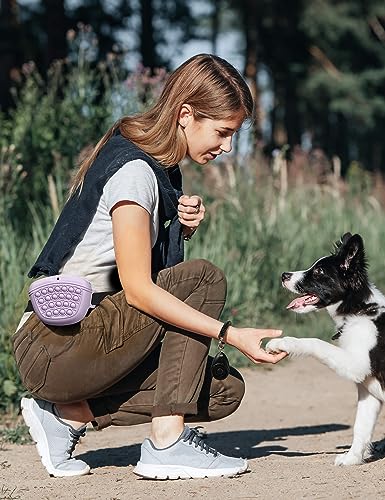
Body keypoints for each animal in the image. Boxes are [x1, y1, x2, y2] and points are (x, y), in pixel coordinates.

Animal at [266, 232, 384, 466]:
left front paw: (282, 343)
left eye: (319, 272)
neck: (359, 309)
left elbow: (315, 342)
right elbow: (361, 427)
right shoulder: (367, 388)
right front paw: (352, 459)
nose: (284, 275)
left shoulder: (357, 365)